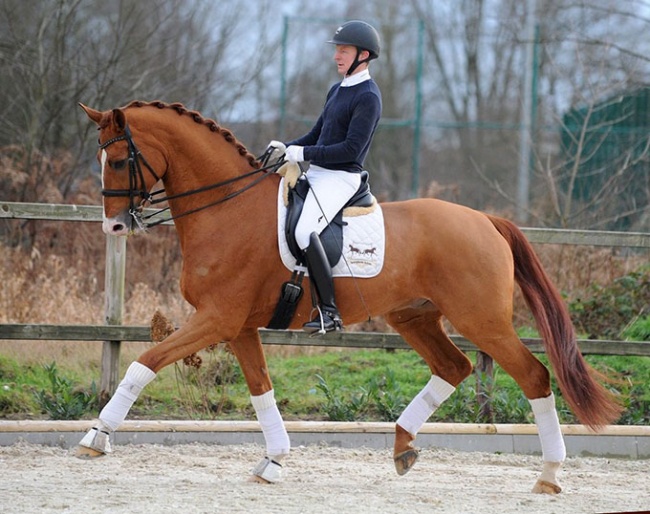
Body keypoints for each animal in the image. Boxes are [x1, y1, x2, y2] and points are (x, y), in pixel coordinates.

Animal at [77, 101, 616, 492]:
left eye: (120, 160)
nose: (114, 227)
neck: (227, 208)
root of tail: (486, 219)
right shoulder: (239, 326)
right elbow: (260, 389)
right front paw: (273, 461)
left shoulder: (216, 319)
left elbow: (144, 361)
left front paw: (96, 437)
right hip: (414, 317)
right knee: (454, 367)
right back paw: (402, 447)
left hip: (482, 321)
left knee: (533, 376)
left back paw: (549, 476)